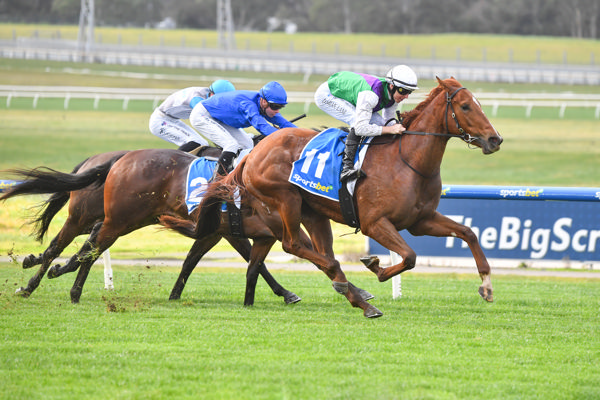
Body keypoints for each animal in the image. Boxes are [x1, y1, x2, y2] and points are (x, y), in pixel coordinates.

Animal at [0, 150, 300, 306]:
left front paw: (175, 294)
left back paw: (50, 280)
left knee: (85, 247)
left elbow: (192, 260)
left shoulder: (215, 232)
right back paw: (40, 284)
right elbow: (254, 260)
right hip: (95, 218)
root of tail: (116, 159)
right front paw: (286, 293)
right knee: (68, 247)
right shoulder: (228, 229)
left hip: (125, 220)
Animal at [196, 76, 502, 318]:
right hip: (285, 200)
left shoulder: (421, 220)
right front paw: (375, 265)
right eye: (465, 106)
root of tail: (253, 152)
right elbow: (409, 256)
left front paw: (487, 285)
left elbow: (467, 232)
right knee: (293, 245)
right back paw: (350, 289)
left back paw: (357, 296)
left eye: (479, 104)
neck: (406, 160)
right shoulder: (374, 223)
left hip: (313, 211)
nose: (495, 139)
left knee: (322, 252)